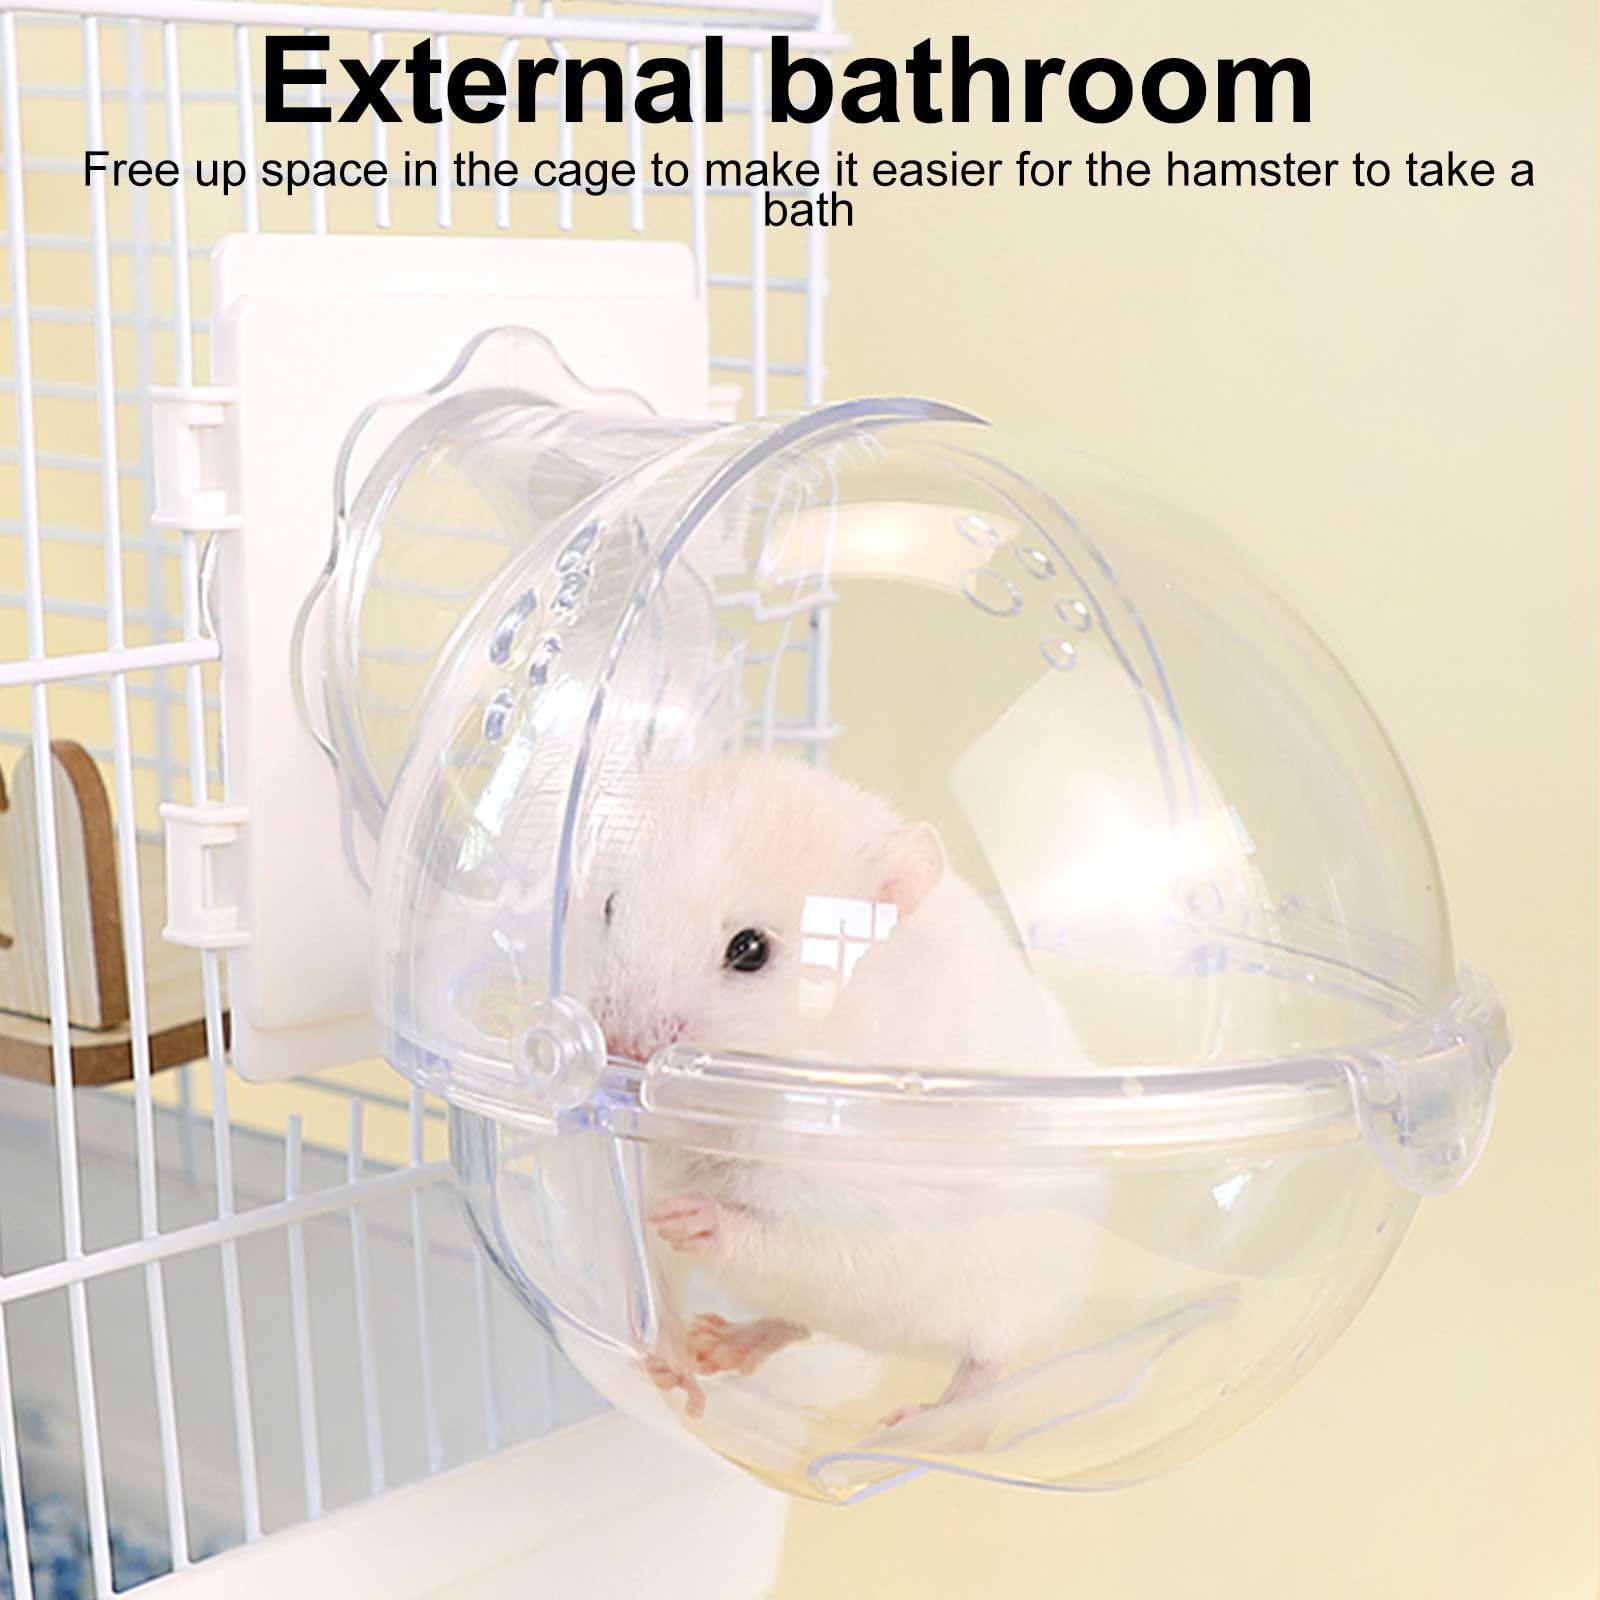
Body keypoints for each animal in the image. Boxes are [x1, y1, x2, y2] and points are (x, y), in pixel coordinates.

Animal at [567, 752, 1101, 1429]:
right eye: (610, 906)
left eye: (750, 949)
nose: (614, 1044)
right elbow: (651, 1277)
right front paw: (680, 1380)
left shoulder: (860, 1209)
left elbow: (774, 1238)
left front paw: (687, 1217)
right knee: (795, 1320)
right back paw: (722, 1343)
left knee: (984, 1363)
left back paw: (915, 1423)